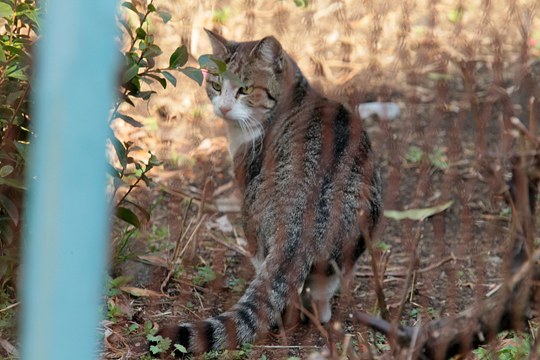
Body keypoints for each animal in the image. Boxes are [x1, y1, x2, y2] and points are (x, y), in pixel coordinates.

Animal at [158, 29, 382, 356]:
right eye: (215, 85)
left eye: (246, 89)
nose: (223, 107)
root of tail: (301, 224)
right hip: (356, 235)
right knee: (323, 284)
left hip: (252, 214)